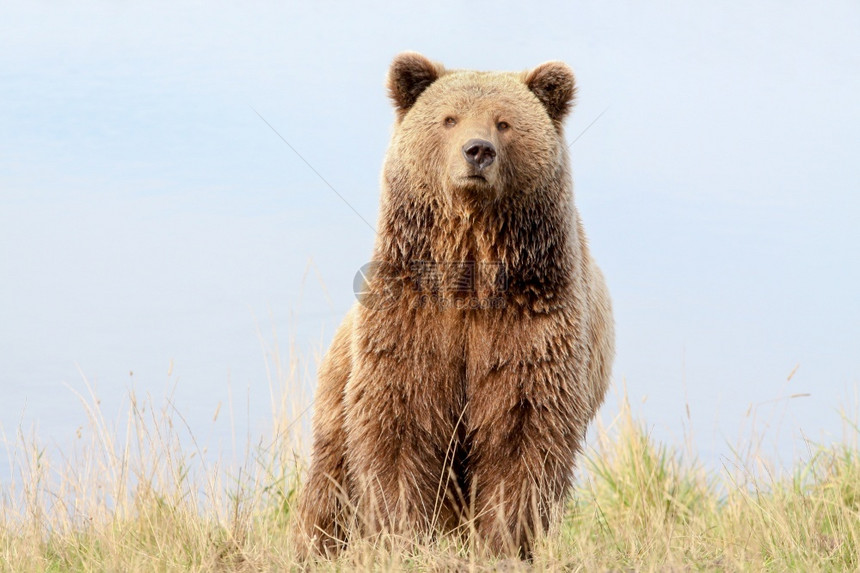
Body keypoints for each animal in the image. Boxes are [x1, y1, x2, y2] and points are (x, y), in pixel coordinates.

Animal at [292, 51, 616, 556]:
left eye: (504, 122)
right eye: (449, 119)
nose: (477, 150)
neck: (470, 272)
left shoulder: (532, 320)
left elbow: (522, 432)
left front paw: (505, 541)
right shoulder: (412, 316)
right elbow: (399, 424)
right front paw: (401, 534)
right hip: (337, 384)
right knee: (330, 476)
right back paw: (319, 544)